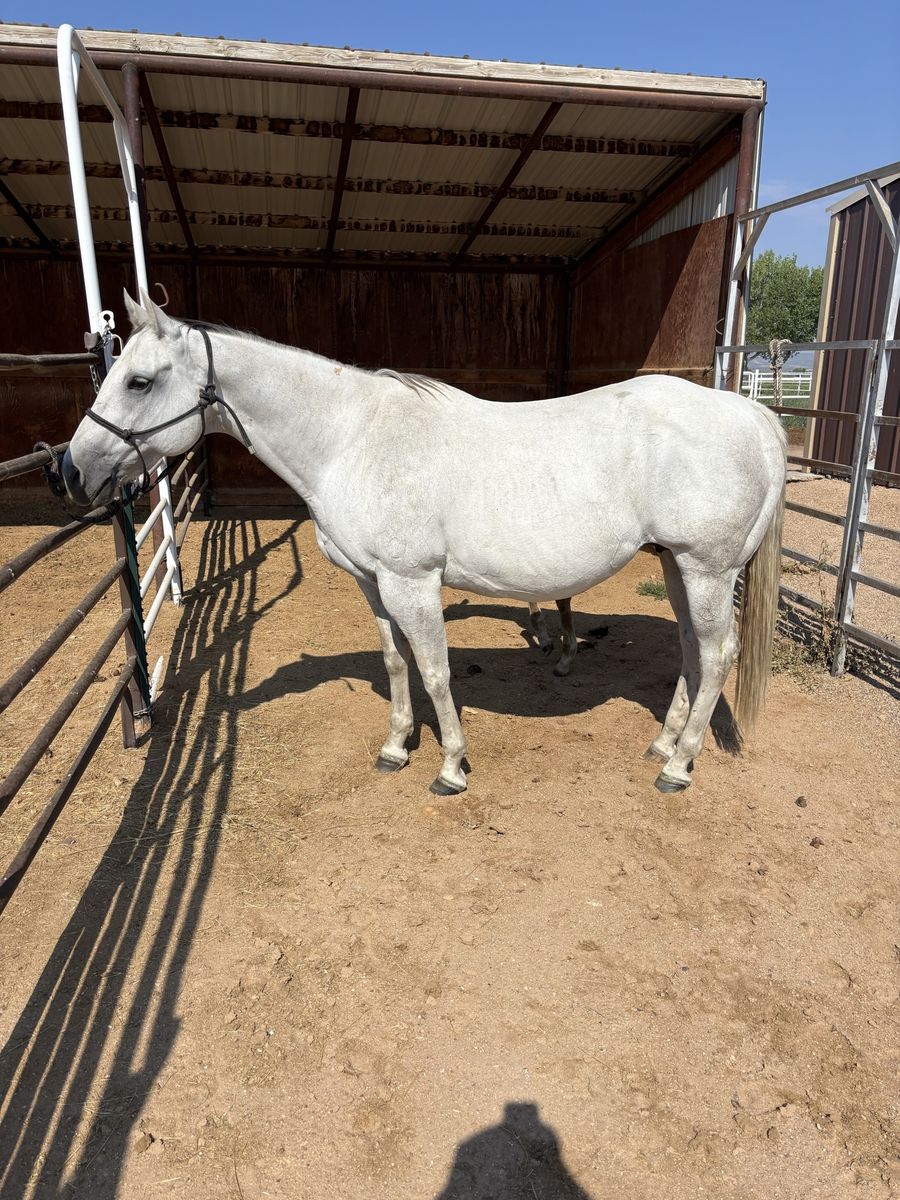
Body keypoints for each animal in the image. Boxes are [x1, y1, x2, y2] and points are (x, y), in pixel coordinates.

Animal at [62, 291, 786, 796]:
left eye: (139, 381)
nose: (68, 471)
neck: (352, 438)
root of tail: (752, 414)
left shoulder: (412, 581)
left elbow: (435, 670)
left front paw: (451, 766)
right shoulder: (373, 583)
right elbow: (395, 663)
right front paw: (395, 747)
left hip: (707, 569)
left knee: (716, 656)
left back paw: (680, 766)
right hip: (678, 567)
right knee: (692, 652)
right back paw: (663, 745)